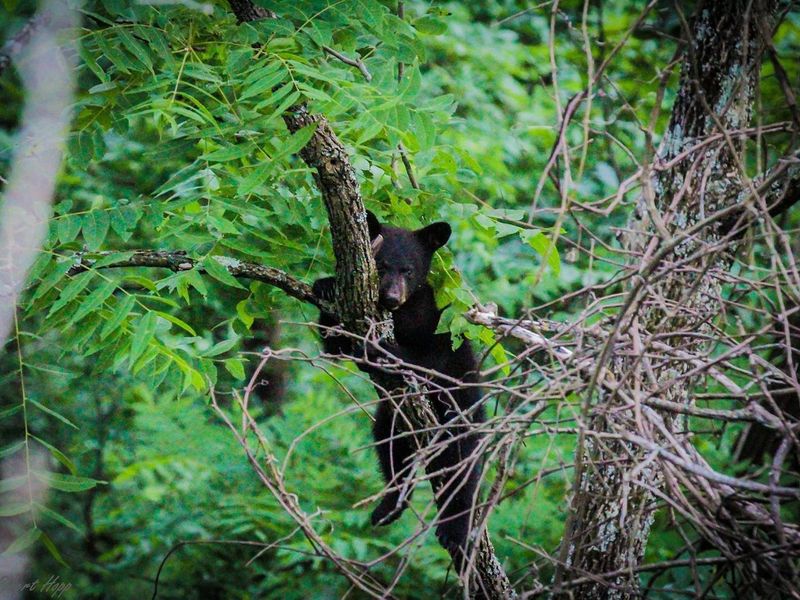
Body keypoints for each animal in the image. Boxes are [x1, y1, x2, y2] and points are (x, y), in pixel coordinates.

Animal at [312, 211, 485, 564]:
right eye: (381, 265)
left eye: (408, 269)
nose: (391, 296)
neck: (400, 313)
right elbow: (335, 346)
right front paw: (326, 286)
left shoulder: (437, 326)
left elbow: (427, 358)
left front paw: (382, 351)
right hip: (392, 416)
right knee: (391, 448)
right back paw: (390, 506)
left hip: (463, 407)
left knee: (461, 464)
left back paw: (455, 531)